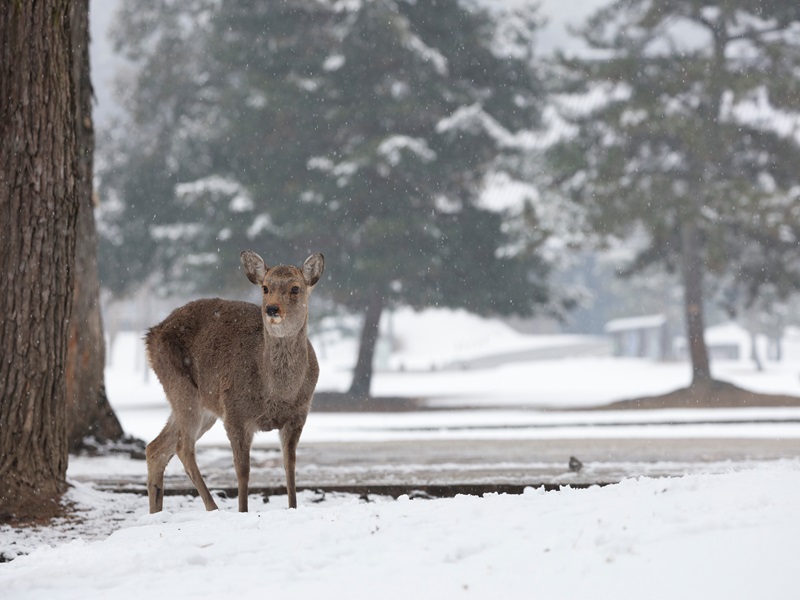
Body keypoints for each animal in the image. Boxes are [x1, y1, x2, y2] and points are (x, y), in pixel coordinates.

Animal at [144, 250, 324, 513]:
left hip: (203, 404)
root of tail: (150, 335)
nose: (272, 309)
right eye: (265, 287)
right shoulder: (235, 414)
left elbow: (290, 468)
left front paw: (293, 508)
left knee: (156, 448)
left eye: (295, 288)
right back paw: (213, 508)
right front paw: (242, 511)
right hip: (179, 386)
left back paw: (156, 512)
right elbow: (243, 471)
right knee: (183, 448)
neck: (277, 393)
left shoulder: (298, 415)